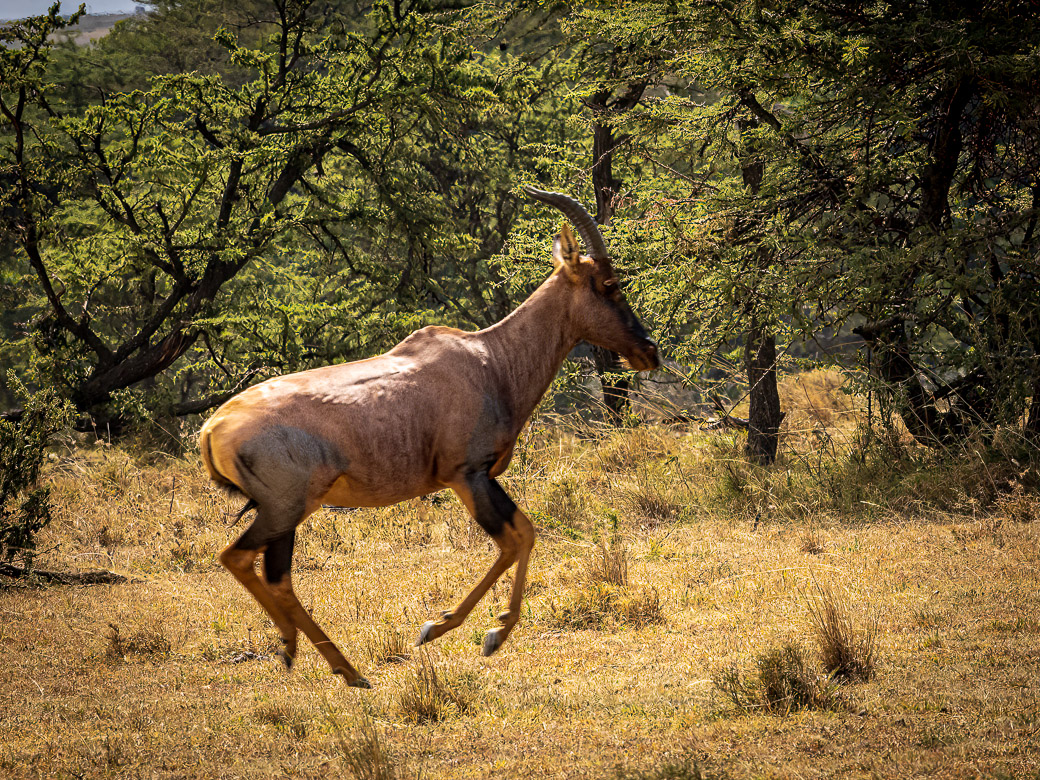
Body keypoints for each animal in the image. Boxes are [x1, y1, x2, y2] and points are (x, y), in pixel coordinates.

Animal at [200, 189, 657, 690]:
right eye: (610, 284)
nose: (648, 352)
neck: (488, 358)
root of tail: (212, 427)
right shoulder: (468, 475)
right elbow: (516, 538)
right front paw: (462, 631)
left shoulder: (479, 477)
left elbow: (525, 532)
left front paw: (469, 629)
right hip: (285, 508)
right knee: (239, 558)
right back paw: (326, 660)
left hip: (285, 513)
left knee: (274, 575)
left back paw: (333, 664)